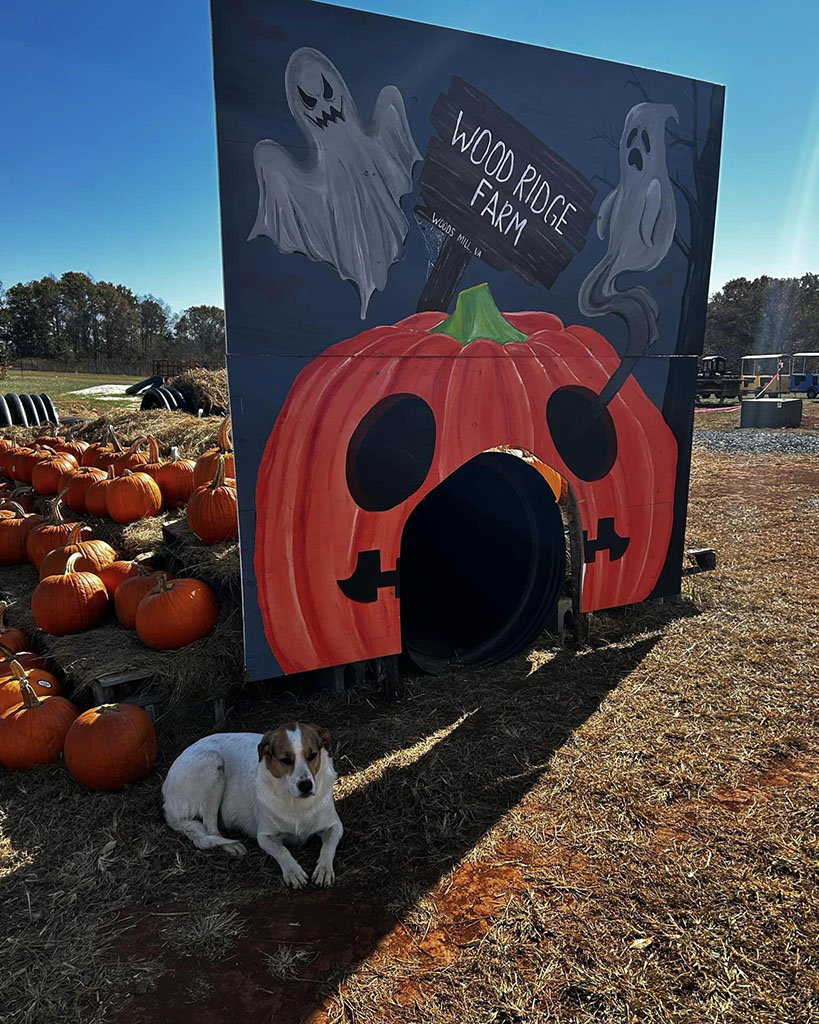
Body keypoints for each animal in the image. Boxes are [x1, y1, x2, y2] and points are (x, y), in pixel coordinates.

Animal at [161, 720, 339, 888]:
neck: (296, 803)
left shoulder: (335, 826)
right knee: (210, 827)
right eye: (286, 760)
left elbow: (329, 846)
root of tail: (166, 804)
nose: (306, 786)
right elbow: (282, 851)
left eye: (312, 755)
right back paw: (232, 846)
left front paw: (324, 869)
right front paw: (292, 871)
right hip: (213, 762)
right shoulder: (265, 836)